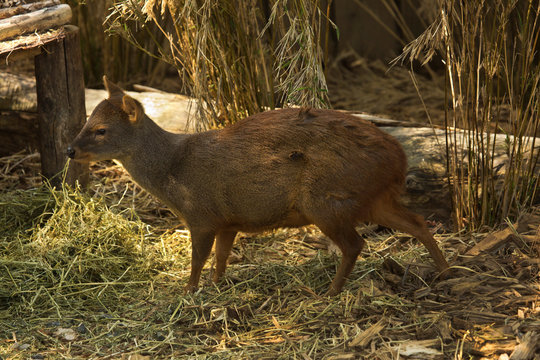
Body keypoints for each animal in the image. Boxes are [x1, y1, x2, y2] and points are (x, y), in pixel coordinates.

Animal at [67, 77, 448, 296]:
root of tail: (399, 157)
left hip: (325, 199)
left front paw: (188, 291)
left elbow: (198, 258)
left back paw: (330, 292)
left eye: (100, 130)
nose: (70, 149)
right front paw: (218, 285)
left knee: (356, 244)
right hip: (370, 198)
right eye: (87, 120)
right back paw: (445, 271)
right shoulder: (227, 221)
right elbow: (221, 257)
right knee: (418, 223)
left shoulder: (201, 216)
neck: (172, 170)